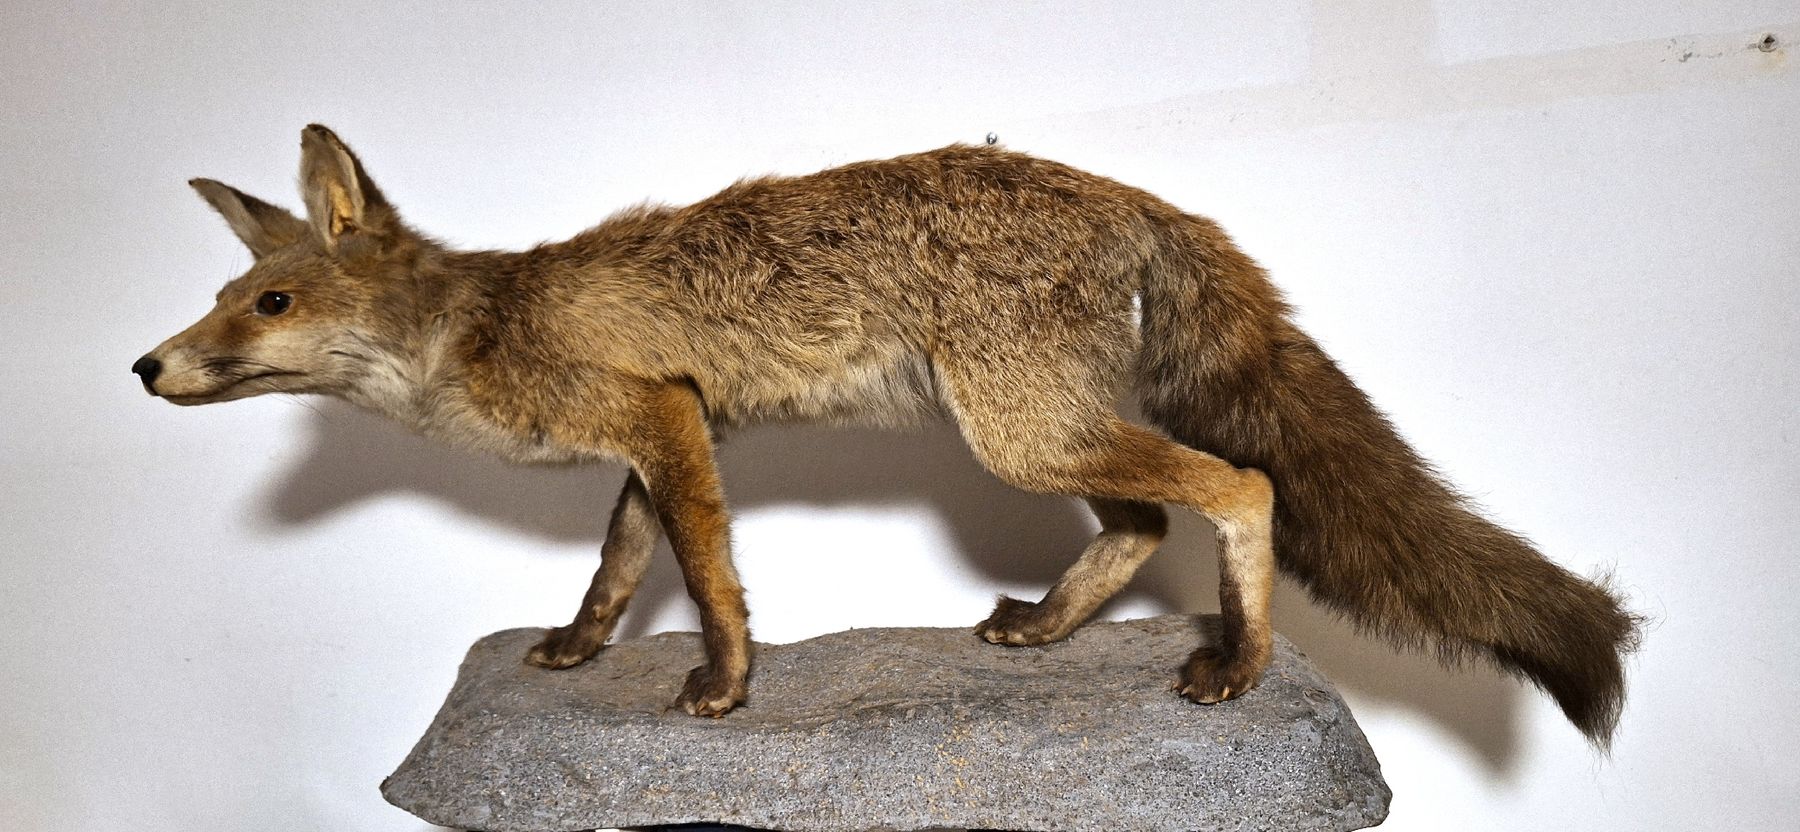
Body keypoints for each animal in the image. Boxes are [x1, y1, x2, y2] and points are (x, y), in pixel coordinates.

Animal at [136, 125, 1638, 743]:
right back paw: (1045, 630)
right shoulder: (668, 432)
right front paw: (572, 650)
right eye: (222, 295)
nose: (147, 366)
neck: (481, 329)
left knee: (1241, 485)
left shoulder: (655, 418)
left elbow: (709, 578)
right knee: (1146, 518)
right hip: (1041, 432)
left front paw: (724, 689)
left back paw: (1242, 663)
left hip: (1023, 435)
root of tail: (1133, 193)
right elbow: (619, 570)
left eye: (268, 304)